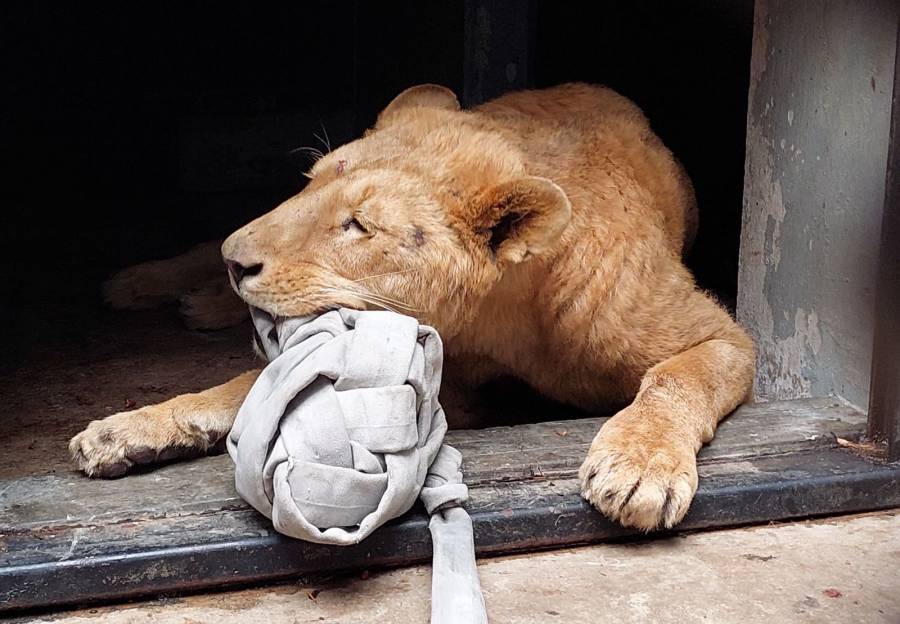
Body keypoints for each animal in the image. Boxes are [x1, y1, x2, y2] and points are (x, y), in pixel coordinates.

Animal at [70, 84, 756, 532]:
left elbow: (676, 378)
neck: (500, 322)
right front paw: (128, 430)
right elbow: (241, 388)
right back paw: (147, 286)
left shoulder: (722, 337)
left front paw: (639, 468)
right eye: (309, 182)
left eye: (357, 225)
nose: (236, 259)